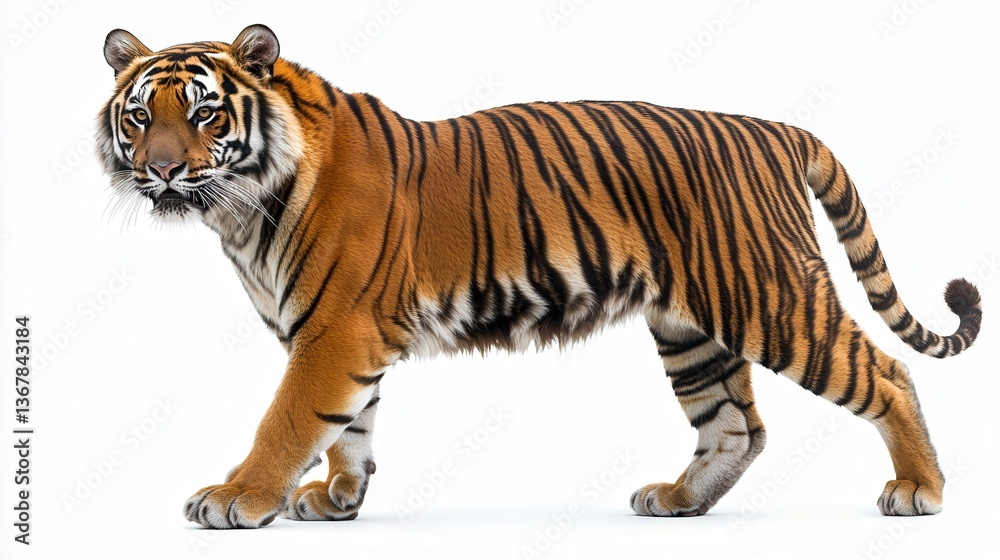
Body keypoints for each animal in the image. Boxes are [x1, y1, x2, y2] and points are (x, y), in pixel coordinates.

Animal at [96, 24, 982, 529]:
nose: (161, 170)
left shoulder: (334, 330)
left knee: (887, 374)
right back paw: (678, 501)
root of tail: (777, 129)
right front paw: (340, 500)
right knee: (737, 425)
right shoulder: (338, 336)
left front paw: (236, 498)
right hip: (690, 328)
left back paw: (920, 490)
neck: (242, 210)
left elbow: (288, 421)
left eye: (204, 112)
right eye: (140, 116)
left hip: (772, 297)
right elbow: (350, 425)